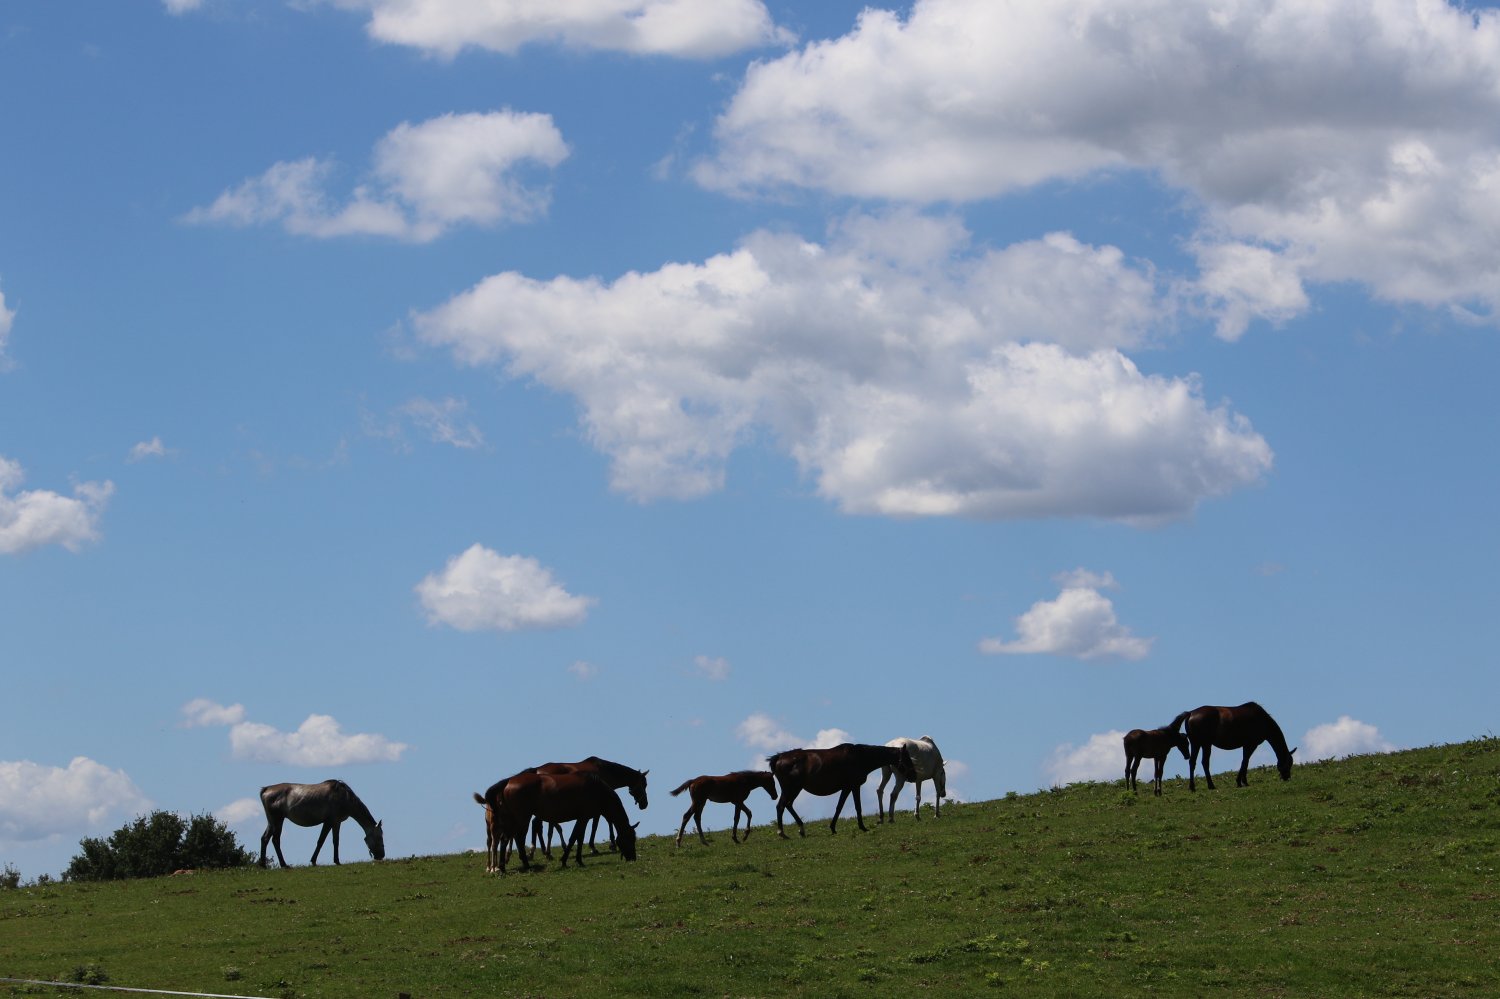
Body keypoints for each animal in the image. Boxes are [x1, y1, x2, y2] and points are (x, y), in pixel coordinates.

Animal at [483, 772, 638, 873]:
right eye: (630, 839)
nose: (633, 858)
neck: (597, 790)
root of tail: (509, 781)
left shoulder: (583, 819)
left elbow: (578, 838)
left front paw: (574, 860)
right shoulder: (583, 818)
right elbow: (575, 838)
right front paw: (569, 860)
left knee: (508, 840)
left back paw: (507, 867)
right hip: (521, 819)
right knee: (514, 840)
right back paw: (513, 866)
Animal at [768, 742, 915, 837]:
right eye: (907, 758)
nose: (913, 775)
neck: (861, 757)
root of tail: (780, 757)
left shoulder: (846, 788)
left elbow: (839, 807)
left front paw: (833, 828)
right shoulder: (854, 786)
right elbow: (857, 807)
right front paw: (863, 827)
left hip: (794, 789)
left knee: (787, 805)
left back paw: (801, 829)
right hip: (791, 788)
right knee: (781, 806)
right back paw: (782, 833)